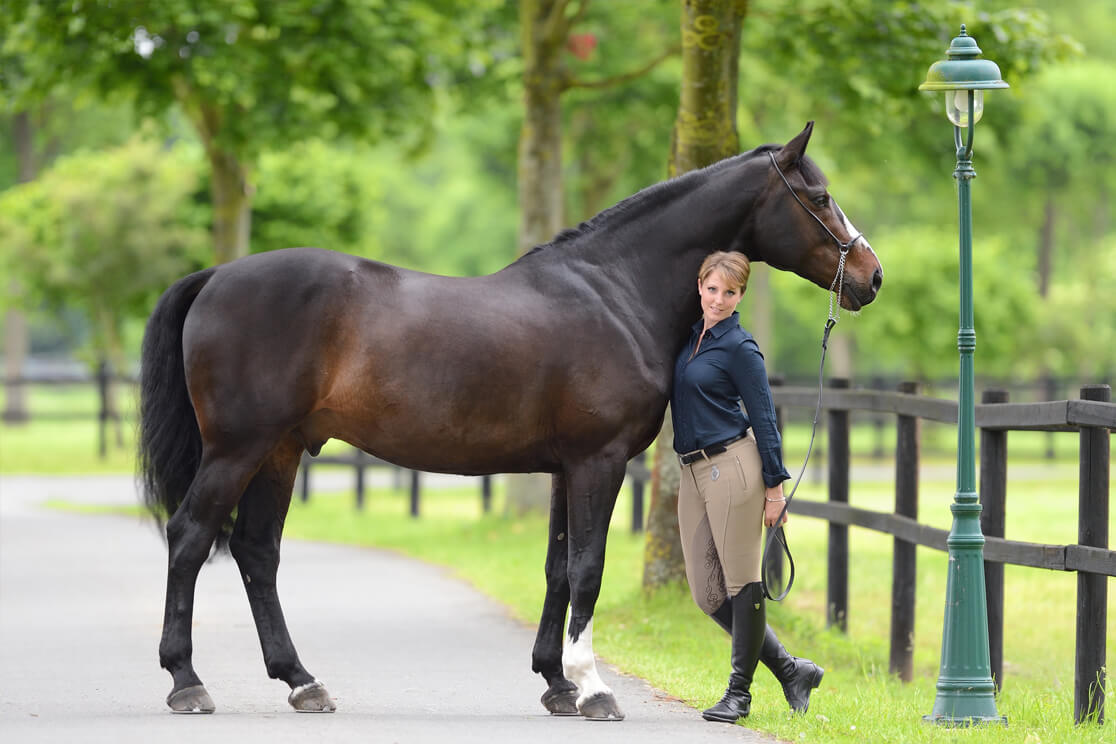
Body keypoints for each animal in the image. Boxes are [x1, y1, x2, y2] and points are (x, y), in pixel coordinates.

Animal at [137, 122, 879, 722]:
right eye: (818, 196)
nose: (870, 277)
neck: (615, 292)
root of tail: (214, 277)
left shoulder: (563, 469)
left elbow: (558, 570)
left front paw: (556, 683)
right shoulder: (599, 461)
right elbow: (587, 569)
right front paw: (594, 689)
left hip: (281, 451)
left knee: (257, 552)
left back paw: (301, 682)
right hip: (238, 448)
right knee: (191, 537)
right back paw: (186, 682)